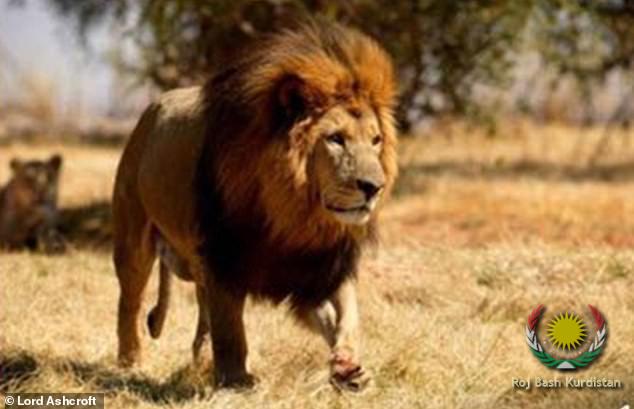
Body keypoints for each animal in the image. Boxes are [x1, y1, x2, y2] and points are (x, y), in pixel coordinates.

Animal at [112, 19, 397, 391]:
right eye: (336, 139)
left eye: (376, 140)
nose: (374, 187)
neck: (293, 213)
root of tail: (151, 108)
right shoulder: (224, 256)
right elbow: (231, 329)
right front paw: (237, 381)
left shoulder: (321, 268)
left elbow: (348, 317)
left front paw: (348, 366)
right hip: (134, 239)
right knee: (129, 303)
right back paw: (130, 363)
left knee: (200, 308)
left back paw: (200, 359)